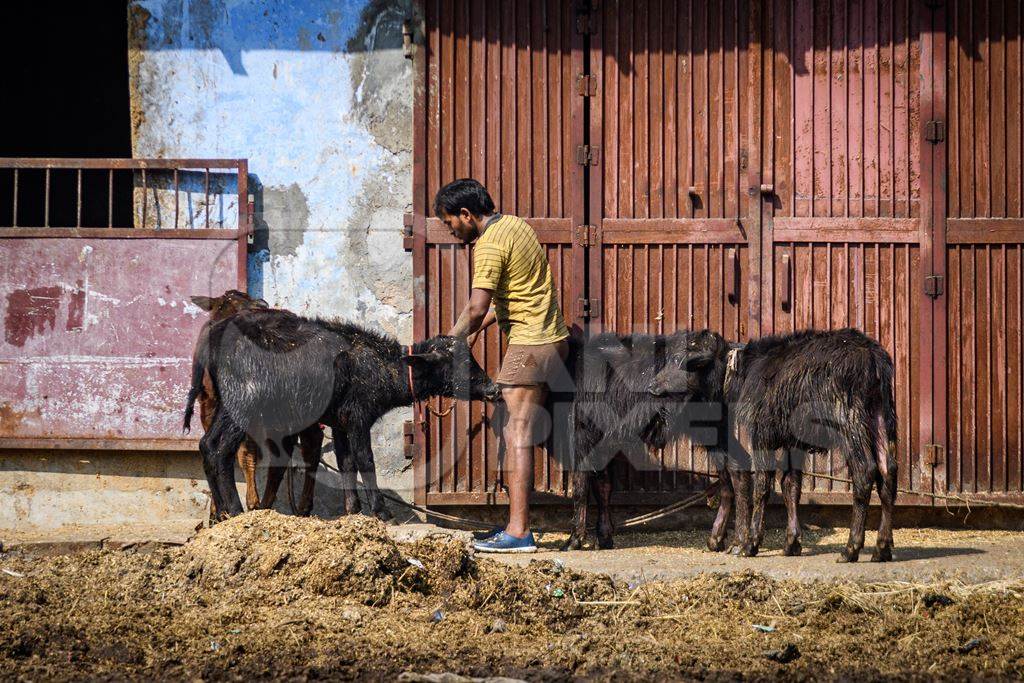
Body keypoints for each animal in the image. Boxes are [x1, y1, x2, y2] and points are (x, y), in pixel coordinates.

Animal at [190, 307, 501, 520]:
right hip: (242, 402)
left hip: (222, 403)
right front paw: (380, 511)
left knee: (206, 445)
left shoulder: (340, 422)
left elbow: (346, 463)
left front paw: (353, 509)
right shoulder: (358, 417)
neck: (384, 367)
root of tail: (212, 337)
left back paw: (221, 513)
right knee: (220, 449)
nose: (493, 389)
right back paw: (234, 510)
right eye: (458, 363)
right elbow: (366, 460)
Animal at [651, 327, 901, 565]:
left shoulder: (761, 435)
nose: (652, 387)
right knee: (888, 472)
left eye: (679, 359)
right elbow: (791, 486)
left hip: (849, 423)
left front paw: (751, 544)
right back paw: (882, 547)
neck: (743, 372)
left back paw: (851, 549)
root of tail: (872, 355)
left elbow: (762, 485)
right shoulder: (794, 442)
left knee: (865, 471)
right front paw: (791, 543)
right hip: (881, 416)